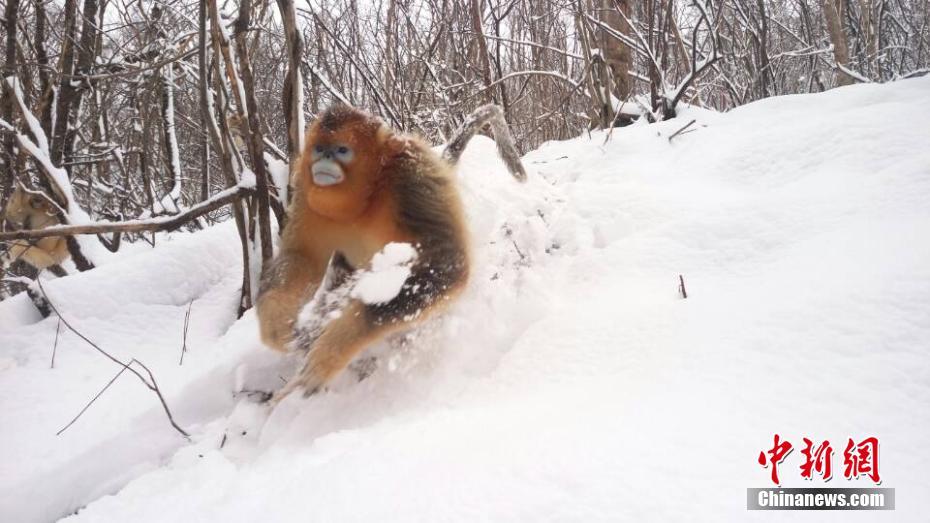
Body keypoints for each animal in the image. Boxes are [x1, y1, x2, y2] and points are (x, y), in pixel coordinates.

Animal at [256, 103, 526, 400]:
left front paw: (335, 346)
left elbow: (447, 267)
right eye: (319, 148)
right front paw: (276, 322)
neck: (369, 196)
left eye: (341, 150)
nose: (323, 159)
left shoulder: (411, 180)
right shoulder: (307, 193)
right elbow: (302, 256)